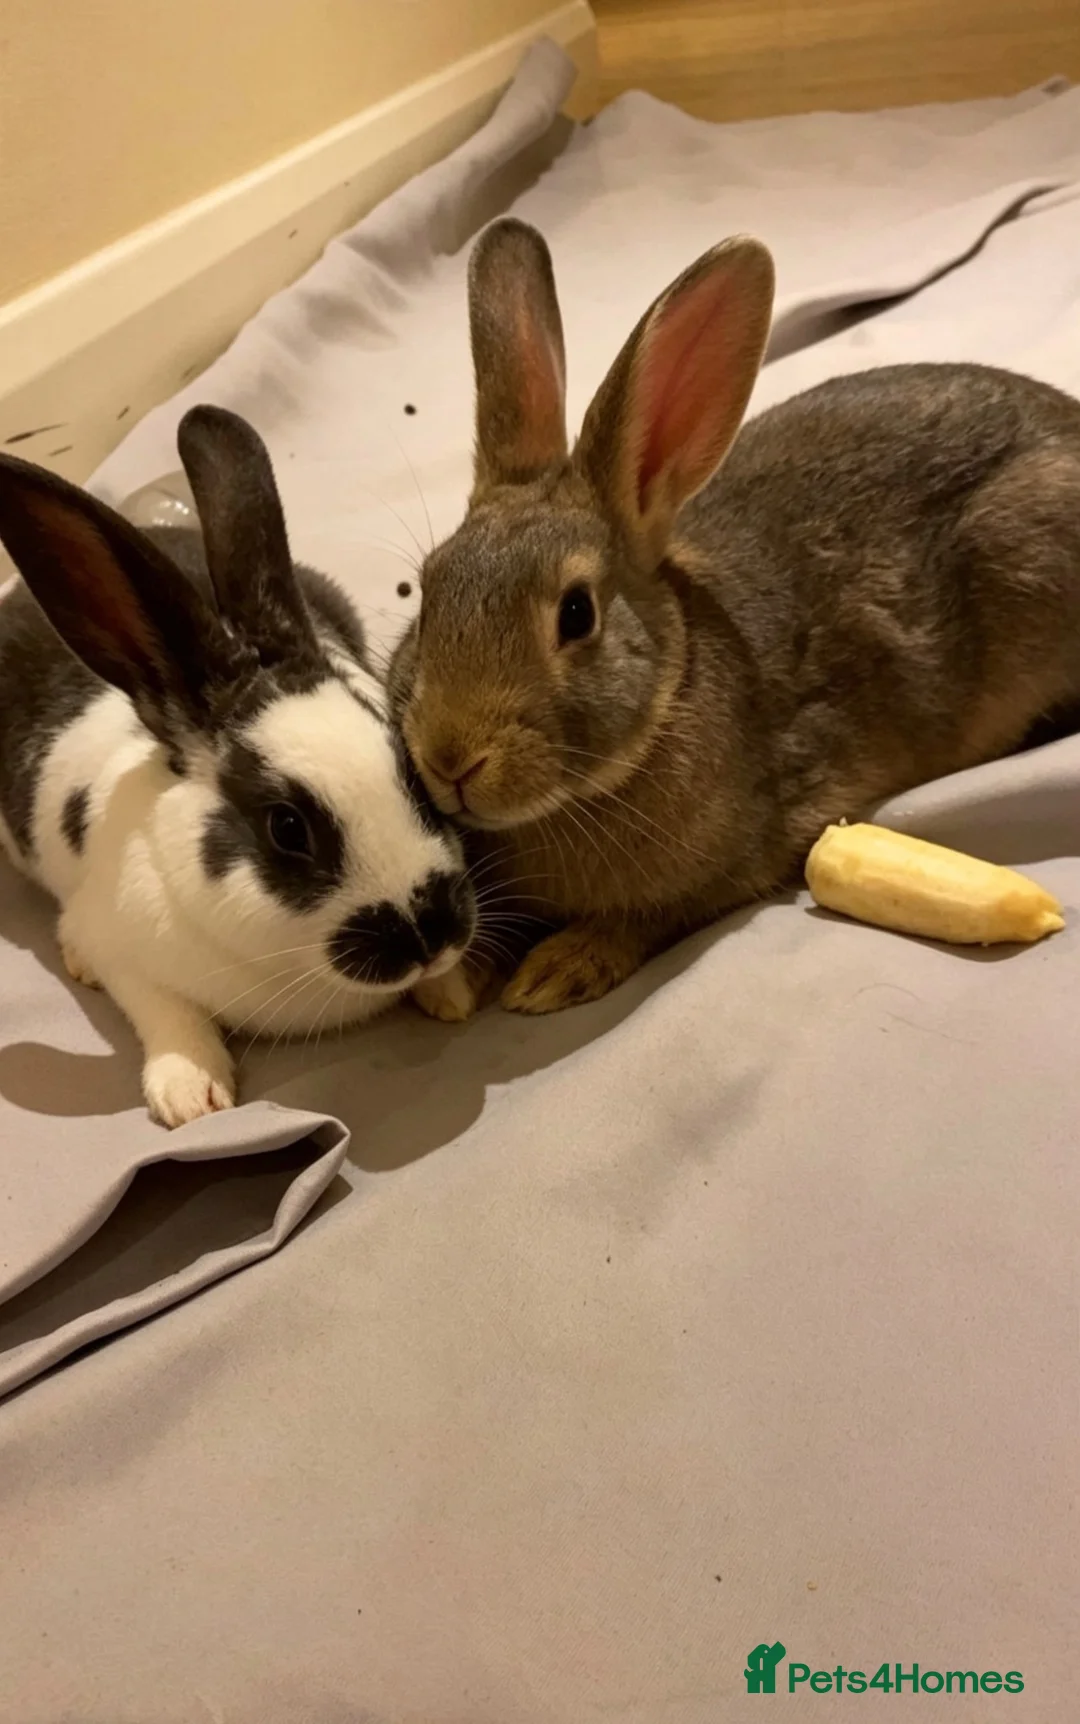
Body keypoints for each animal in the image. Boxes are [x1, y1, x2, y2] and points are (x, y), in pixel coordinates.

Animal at [0, 405, 476, 1126]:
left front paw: (452, 993)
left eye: (417, 778)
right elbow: (167, 1013)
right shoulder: (126, 954)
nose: (428, 936)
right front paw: (191, 1096)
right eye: (287, 828)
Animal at [389, 217, 1080, 1018]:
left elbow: (649, 917)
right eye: (427, 592)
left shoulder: (739, 862)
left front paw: (557, 970)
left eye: (576, 614)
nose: (450, 759)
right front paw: (449, 988)